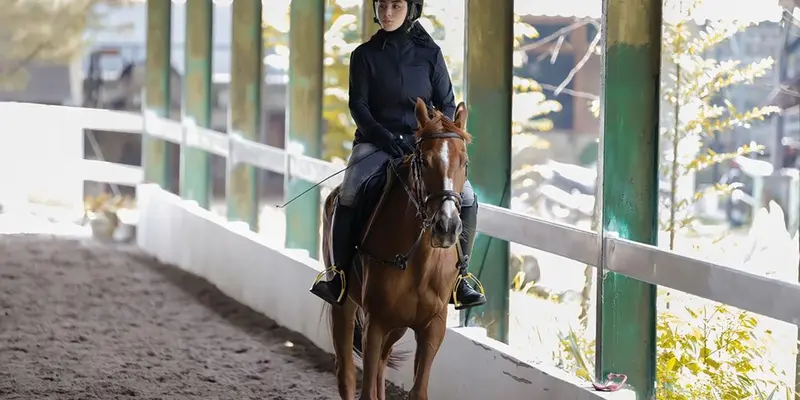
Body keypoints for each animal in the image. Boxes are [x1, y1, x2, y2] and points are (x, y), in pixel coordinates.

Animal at [322, 97, 472, 400]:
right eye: (423, 161)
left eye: (464, 161)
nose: (447, 226)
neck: (420, 262)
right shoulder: (376, 322)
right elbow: (365, 389)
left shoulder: (432, 326)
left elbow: (418, 391)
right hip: (344, 307)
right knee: (347, 373)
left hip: (399, 324)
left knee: (381, 363)